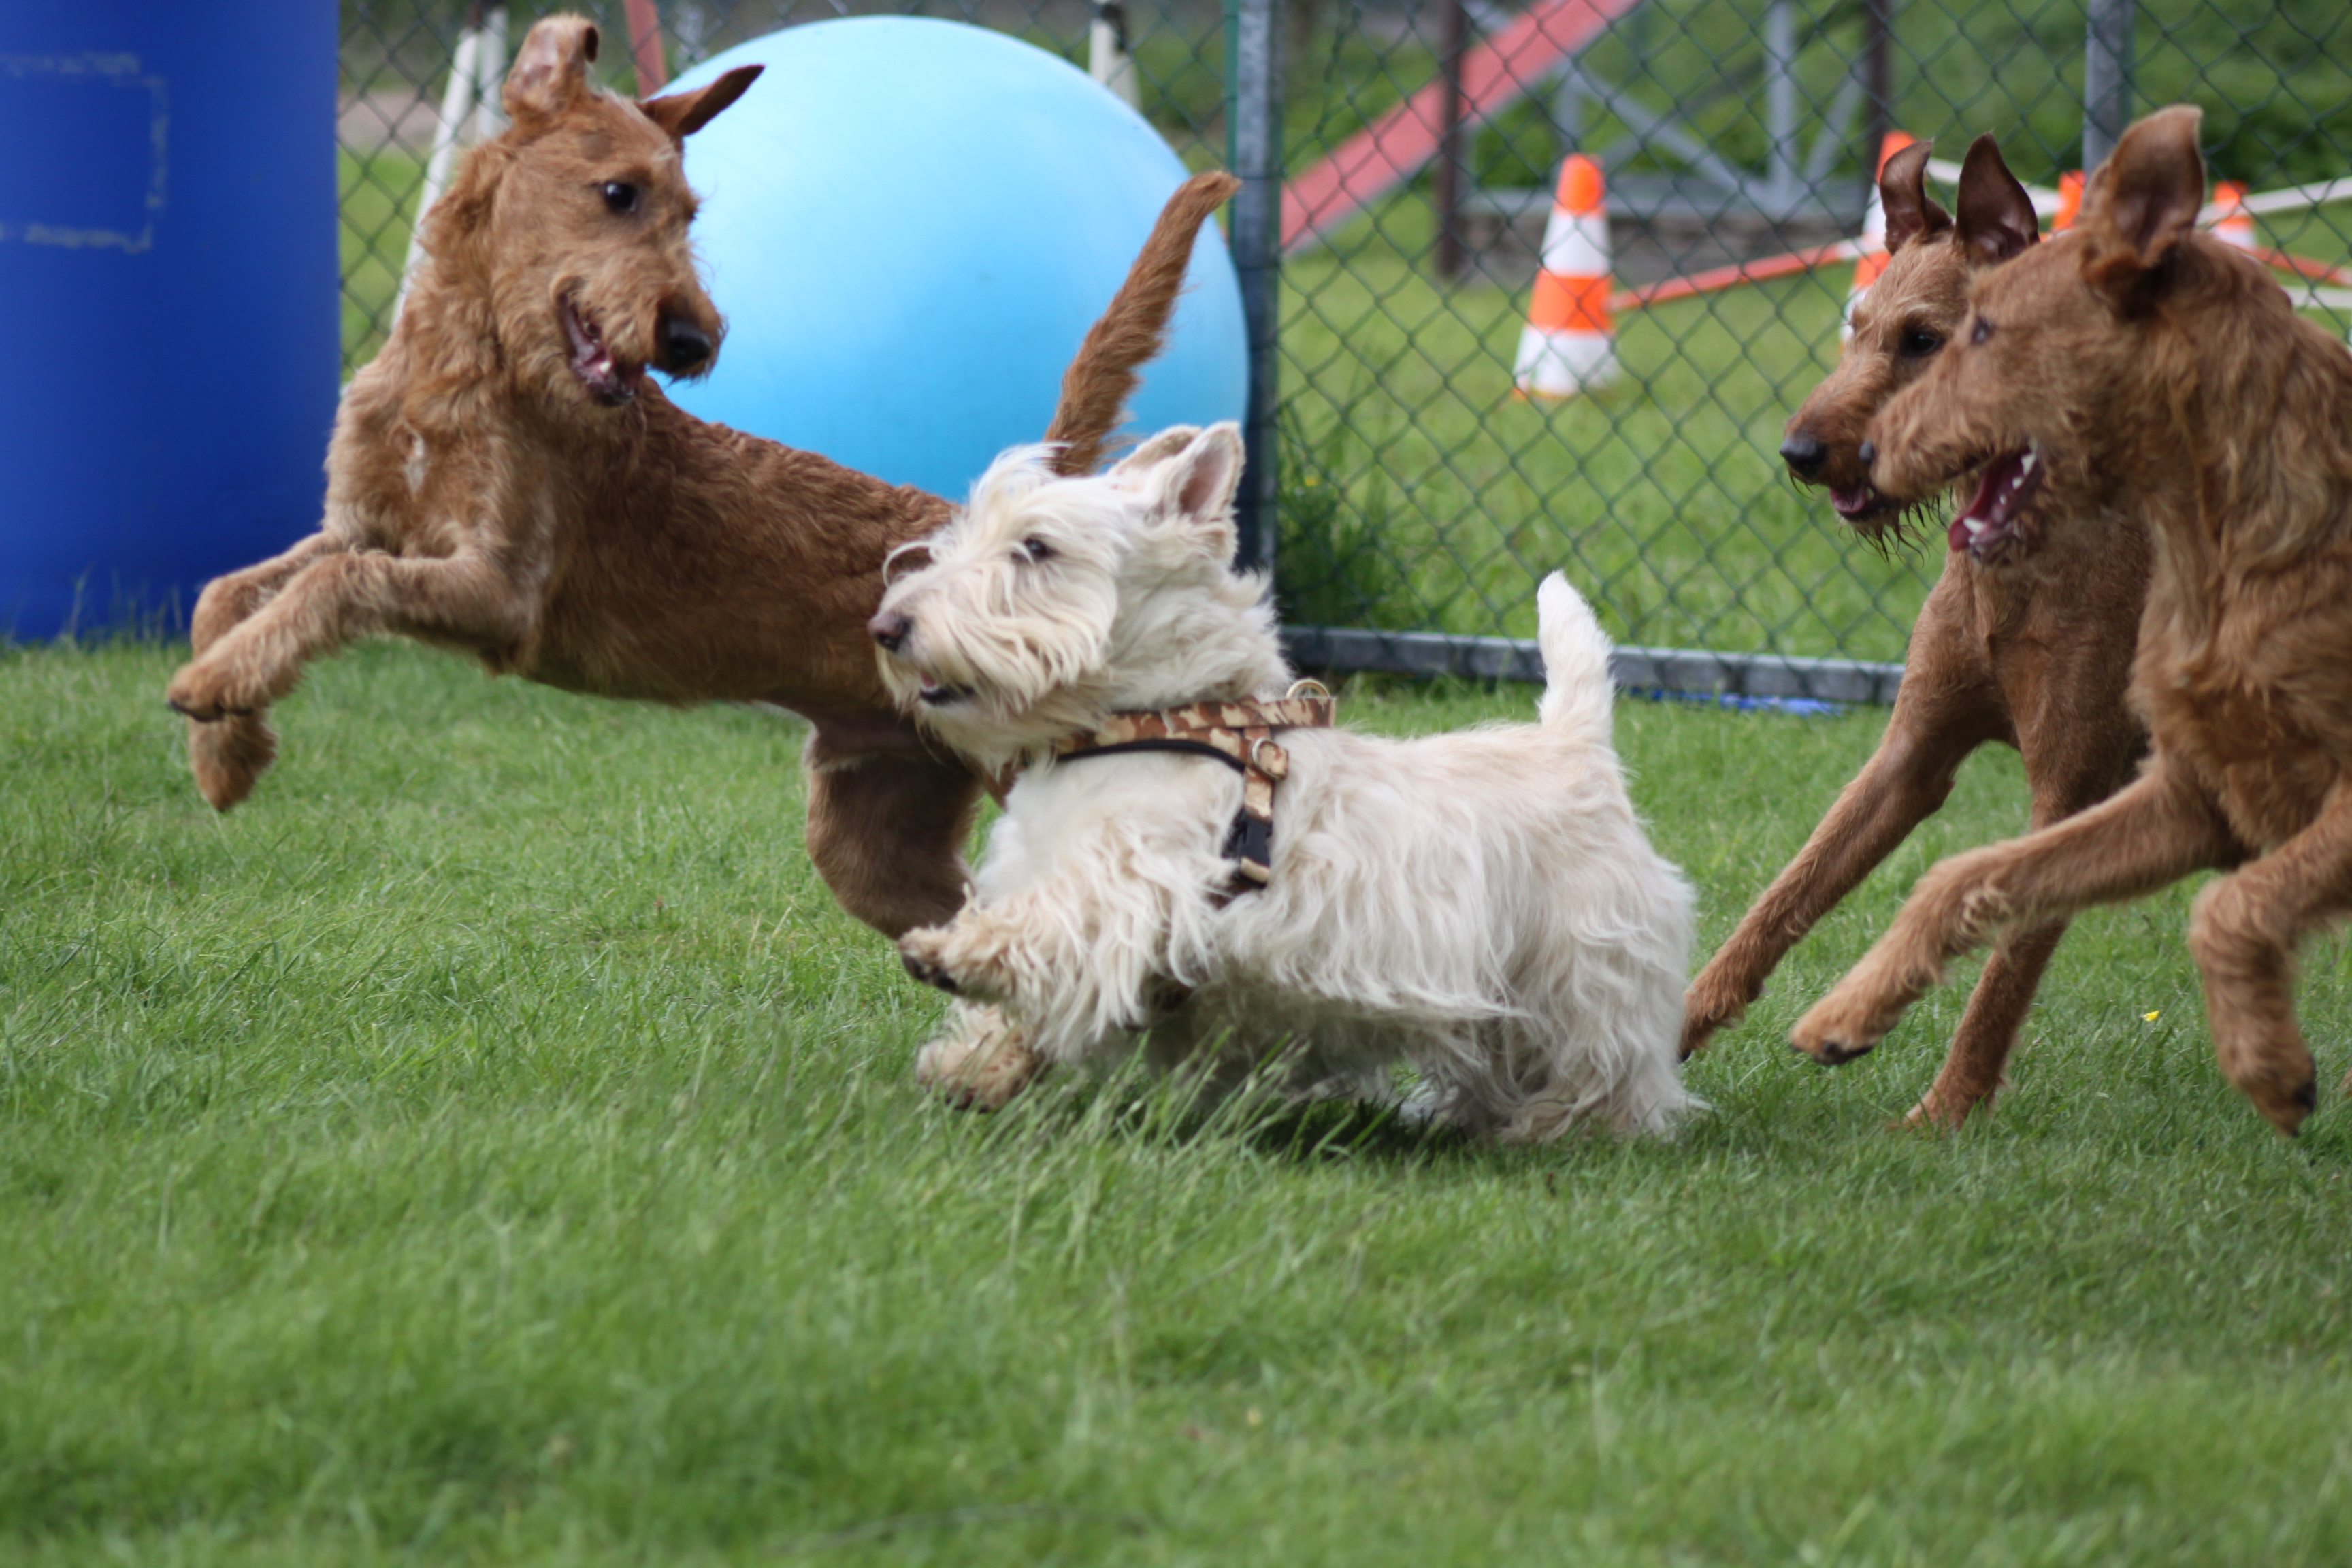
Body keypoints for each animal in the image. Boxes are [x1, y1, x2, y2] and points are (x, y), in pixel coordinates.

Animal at [172, 12, 1241, 940]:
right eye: (619, 193)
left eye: (689, 210)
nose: (693, 338)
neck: (463, 368)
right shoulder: (367, 522)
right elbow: (231, 589)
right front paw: (228, 748)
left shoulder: (499, 588)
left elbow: (333, 586)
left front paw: (217, 691)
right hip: (874, 830)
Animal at [865, 423, 1693, 1142]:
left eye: (1035, 547)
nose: (887, 628)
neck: (1148, 720)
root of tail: (1575, 745)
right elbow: (1035, 992)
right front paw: (974, 1066)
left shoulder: (1136, 879)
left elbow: (1055, 925)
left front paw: (949, 954)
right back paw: (1466, 1118)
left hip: (1584, 958)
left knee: (1607, 1059)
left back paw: (1566, 1127)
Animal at [1674, 129, 2154, 1124]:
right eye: (1855, 326)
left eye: (1925, 340)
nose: (1799, 454)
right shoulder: (1910, 756)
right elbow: (1780, 901)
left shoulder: (2072, 786)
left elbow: (2002, 976)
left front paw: (1944, 1118)